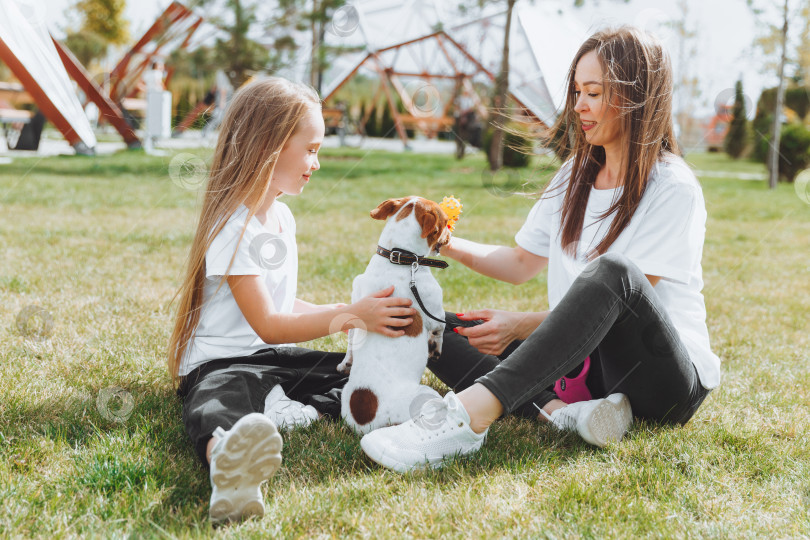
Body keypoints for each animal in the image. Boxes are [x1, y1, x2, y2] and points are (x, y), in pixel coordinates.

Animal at [338, 197, 452, 434]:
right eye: (445, 222)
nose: (451, 237)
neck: (399, 257)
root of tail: (368, 423)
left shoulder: (355, 307)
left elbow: (351, 342)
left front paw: (346, 363)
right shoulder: (436, 313)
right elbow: (439, 331)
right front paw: (434, 349)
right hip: (425, 395)